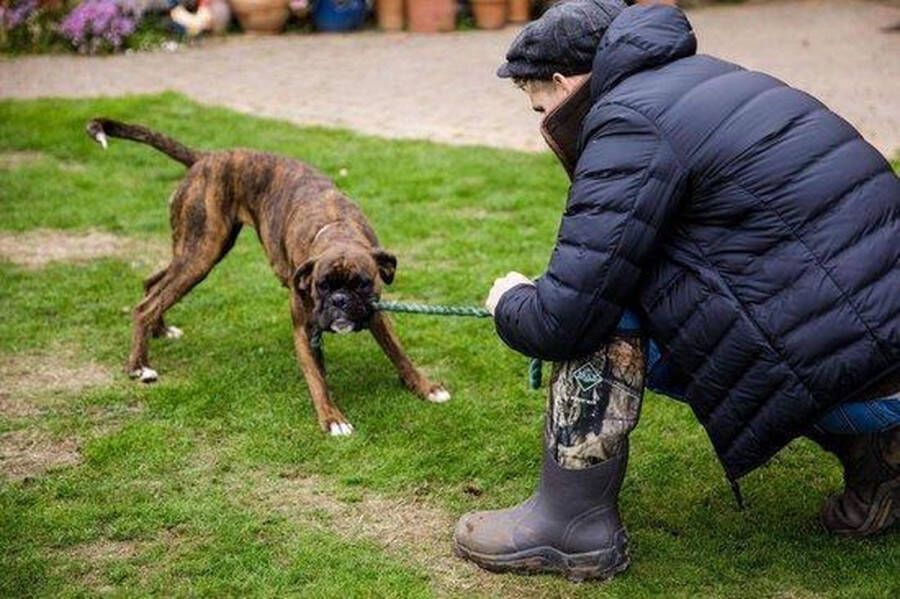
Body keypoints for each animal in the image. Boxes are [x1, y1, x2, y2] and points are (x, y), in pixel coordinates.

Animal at [85, 118, 450, 436]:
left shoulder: (375, 312)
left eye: (361, 283)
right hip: (200, 254)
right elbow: (318, 379)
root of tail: (205, 159)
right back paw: (139, 366)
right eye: (322, 286)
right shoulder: (304, 327)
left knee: (153, 285)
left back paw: (160, 329)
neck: (336, 229)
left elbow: (399, 354)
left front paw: (426, 387)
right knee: (146, 304)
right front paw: (332, 419)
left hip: (196, 252)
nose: (339, 301)